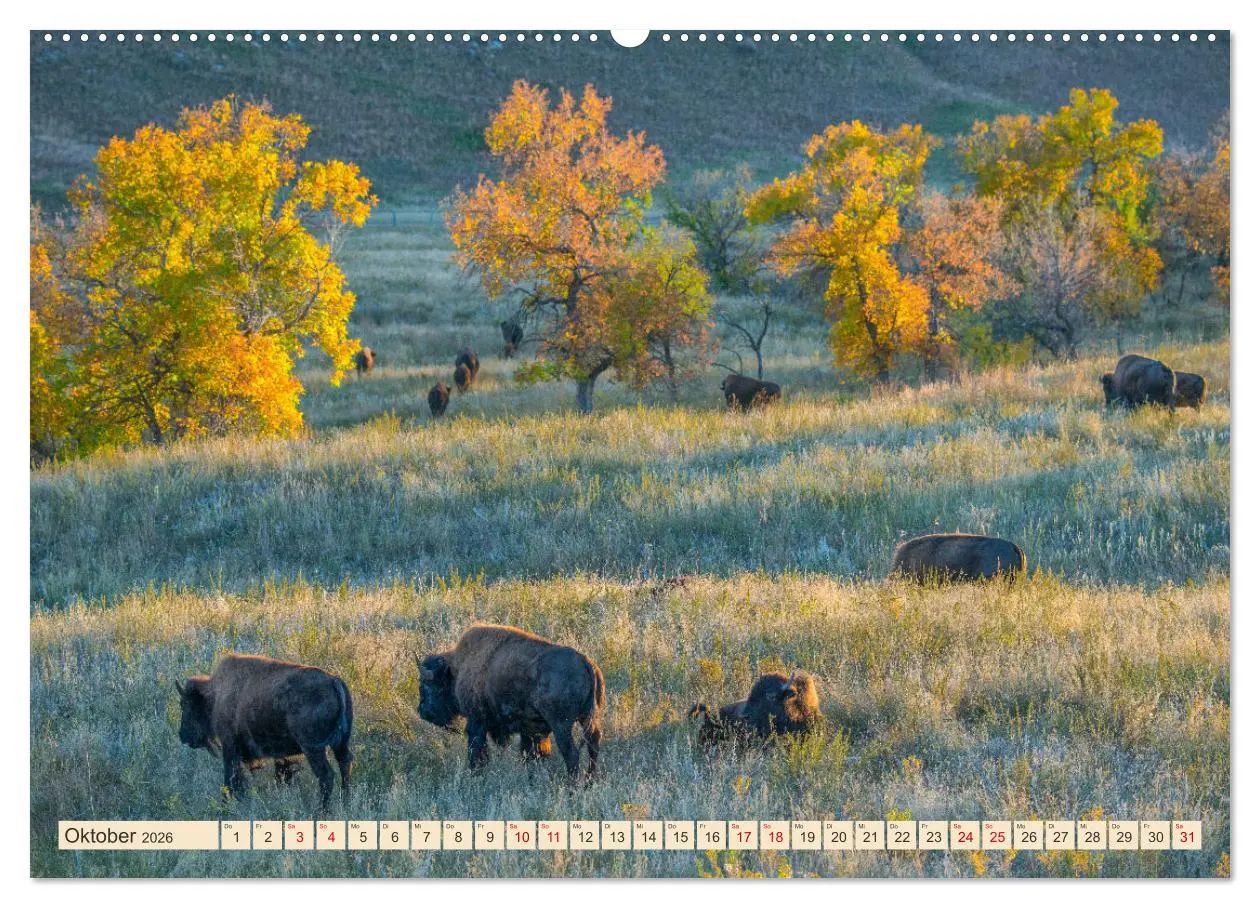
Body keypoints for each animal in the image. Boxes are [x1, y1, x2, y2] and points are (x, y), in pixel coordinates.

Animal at [175, 654, 353, 811]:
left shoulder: (230, 746)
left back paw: (322, 811)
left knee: (326, 775)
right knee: (345, 764)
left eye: (185, 704)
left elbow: (230, 778)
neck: (216, 694)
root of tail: (333, 680)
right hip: (341, 744)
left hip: (312, 748)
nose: (182, 735)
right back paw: (345, 804)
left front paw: (226, 804)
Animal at [416, 624, 604, 780]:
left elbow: (477, 751)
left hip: (561, 725)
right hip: (589, 718)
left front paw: (476, 775)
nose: (422, 711)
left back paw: (572, 787)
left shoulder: (477, 722)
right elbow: (530, 753)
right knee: (593, 745)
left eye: (426, 685)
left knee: (571, 753)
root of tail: (586, 663)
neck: (457, 668)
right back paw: (589, 781)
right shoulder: (528, 730)